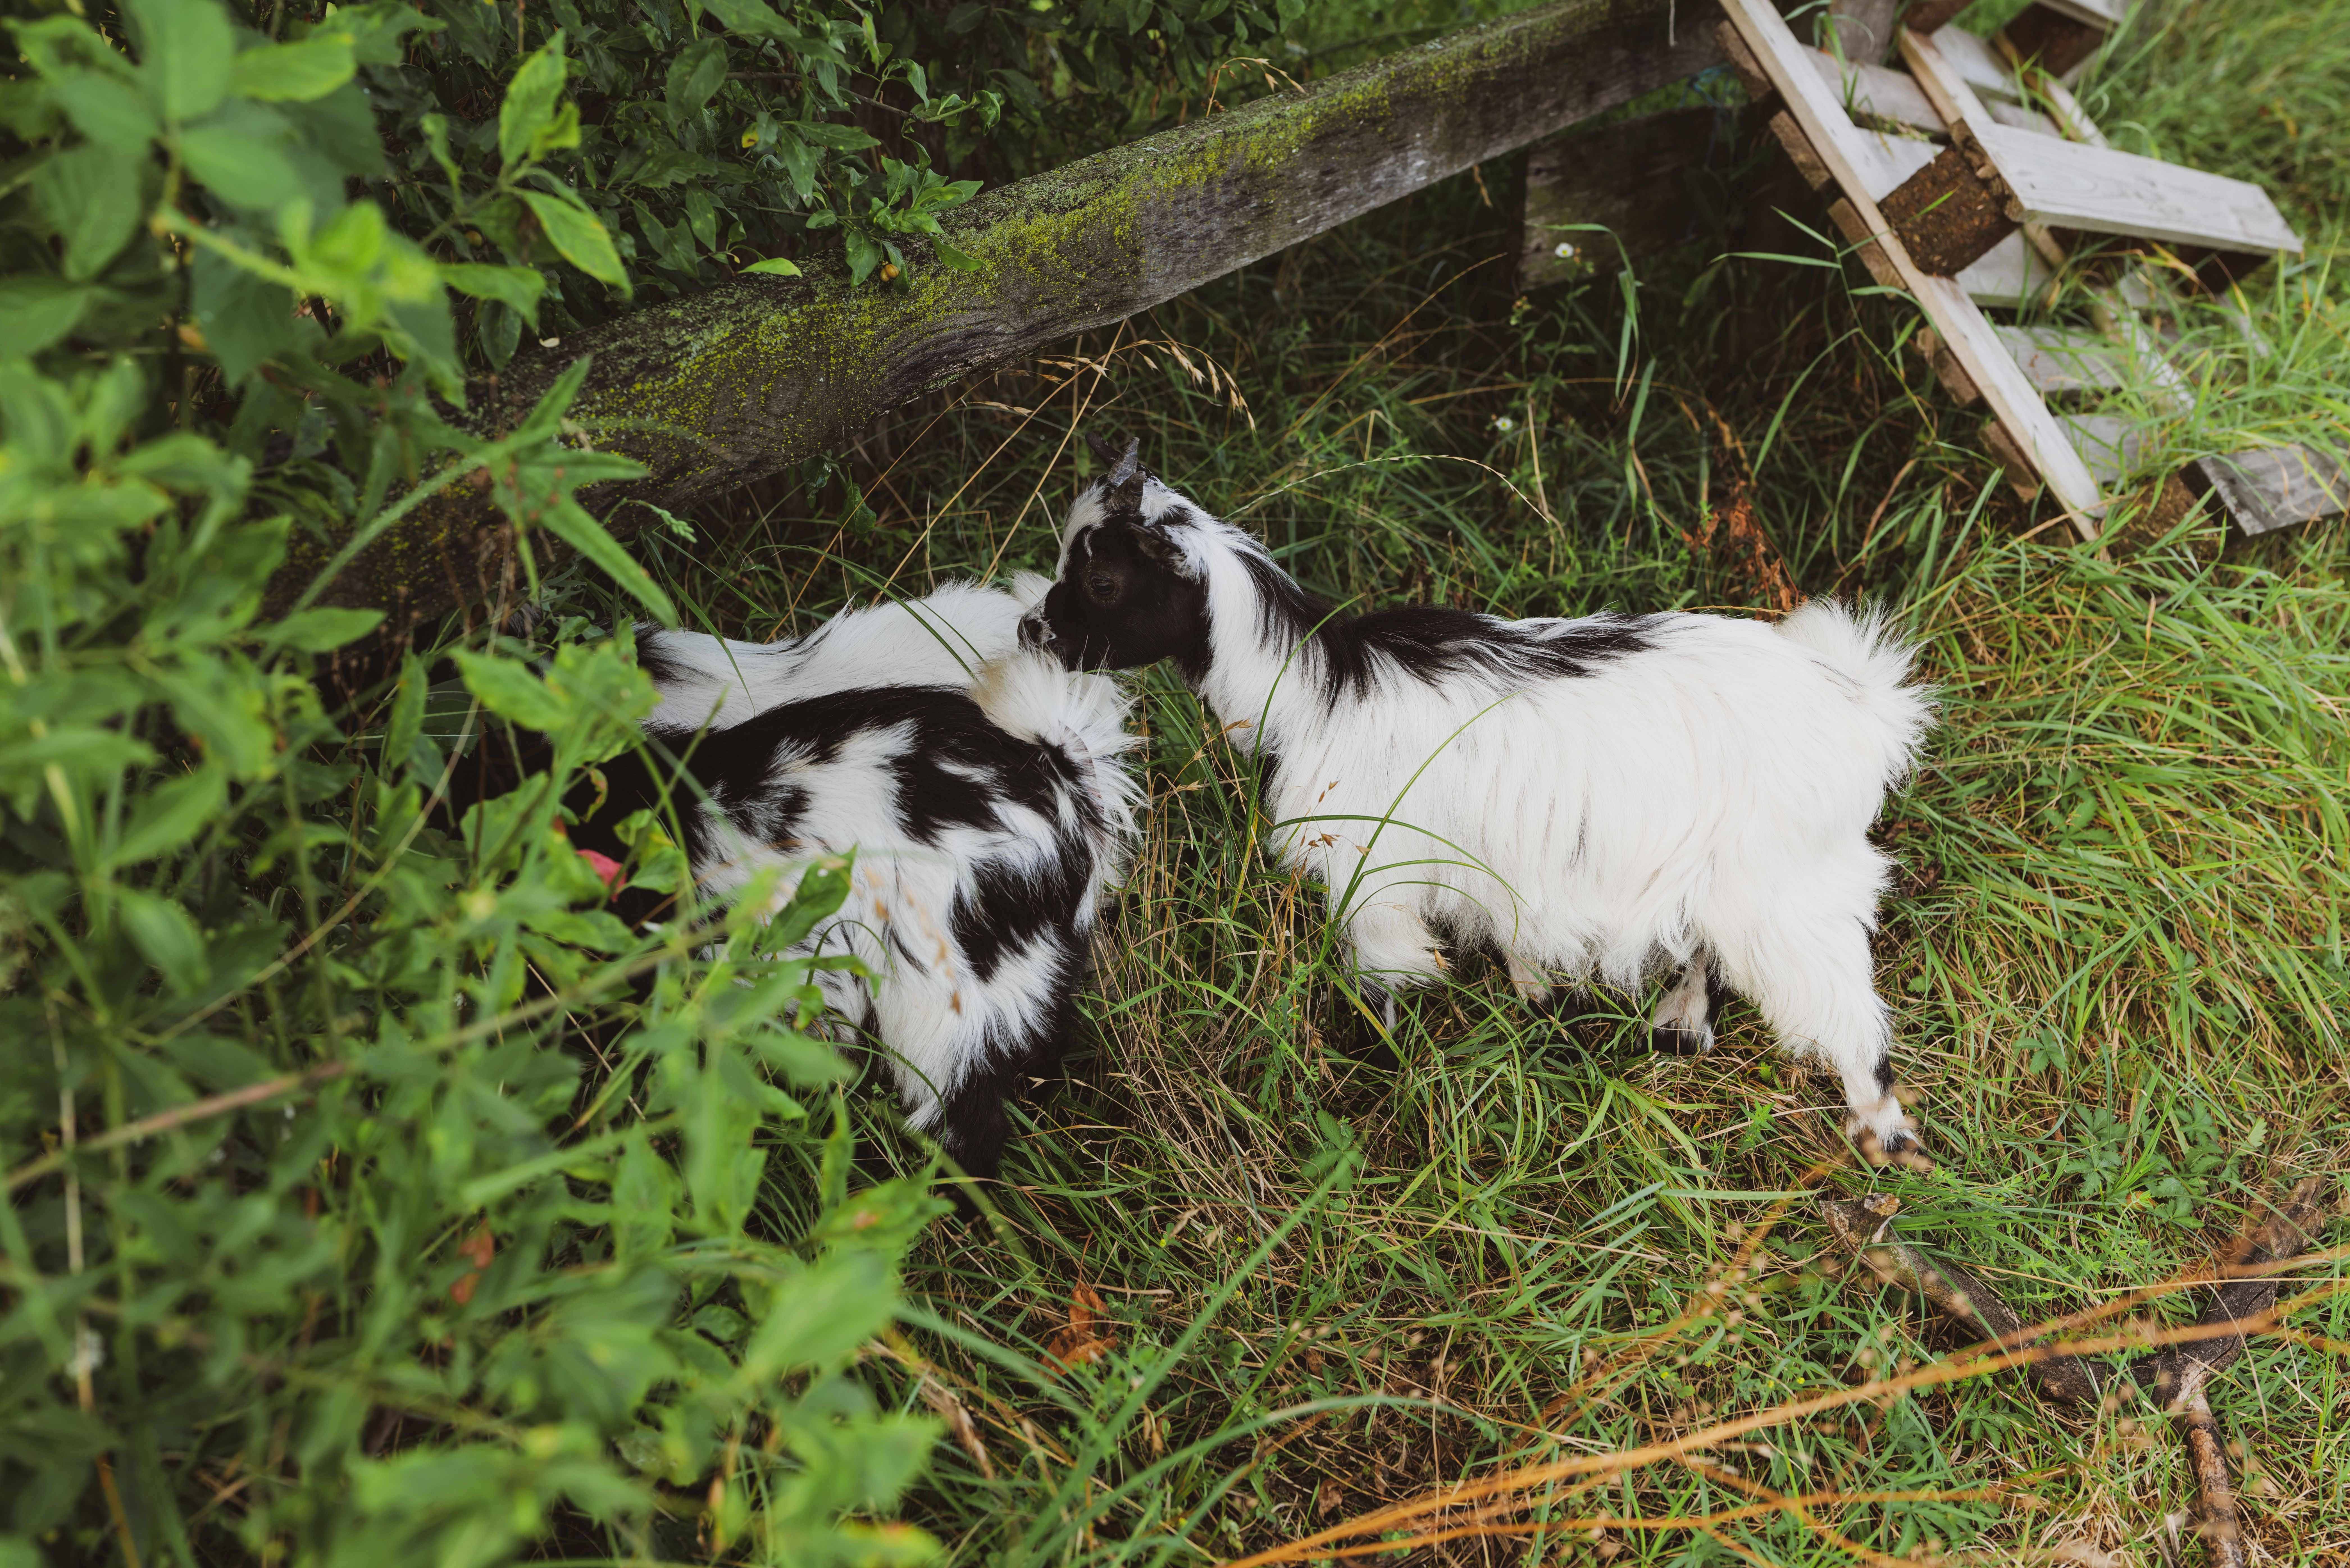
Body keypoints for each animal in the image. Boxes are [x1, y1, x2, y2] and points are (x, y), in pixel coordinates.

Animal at [1020, 439, 1936, 1167]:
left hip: (1783, 885)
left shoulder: (1374, 878)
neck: (1313, 687)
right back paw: (1678, 1022)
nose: (1034, 632)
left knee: (1845, 1006)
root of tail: (1859, 706)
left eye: (1101, 579)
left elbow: (1387, 979)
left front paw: (1378, 1076)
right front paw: (1534, 995)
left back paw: (1884, 1136)